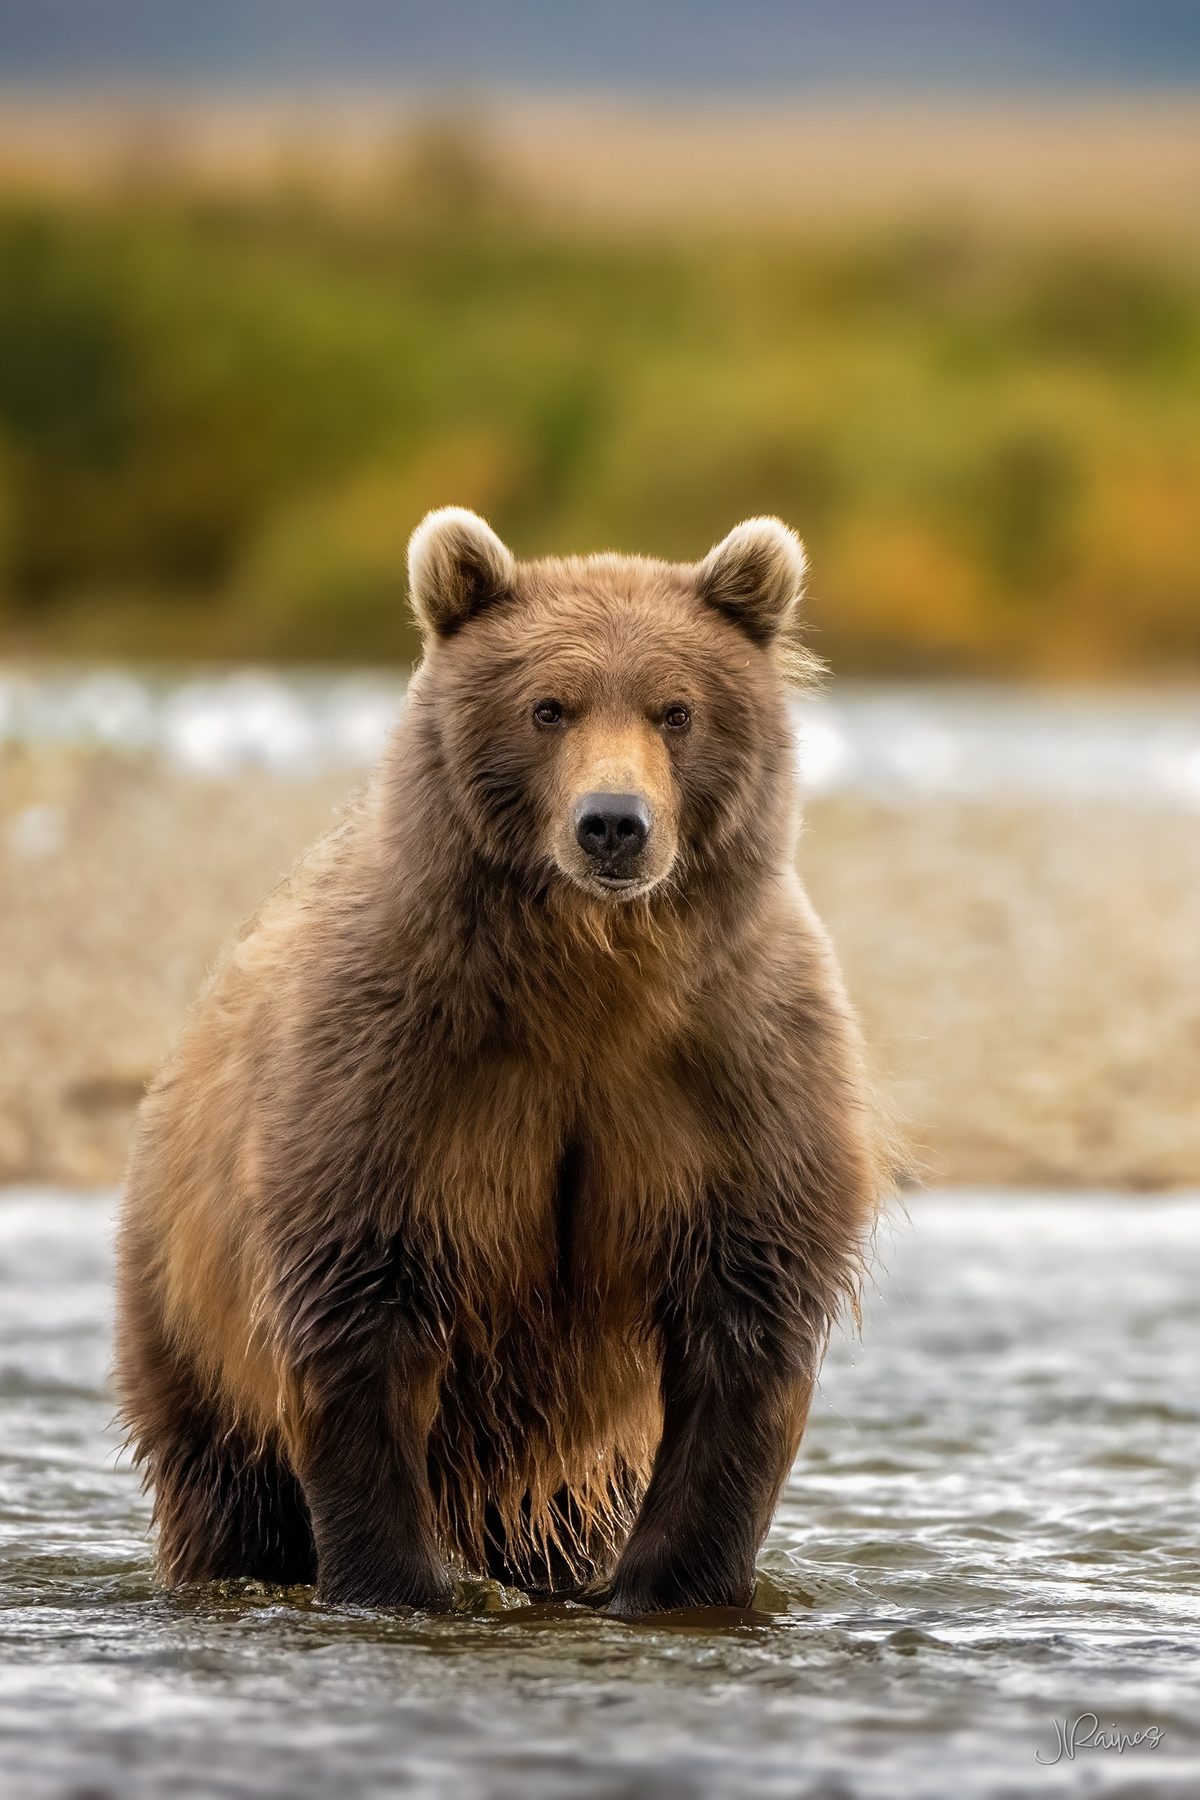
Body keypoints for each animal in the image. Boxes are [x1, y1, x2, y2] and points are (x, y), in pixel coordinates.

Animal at [115, 508, 884, 1615]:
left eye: (677, 711)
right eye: (548, 706)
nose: (613, 823)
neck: (588, 984)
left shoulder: (736, 1069)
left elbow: (743, 1326)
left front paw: (673, 1586)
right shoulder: (398, 1071)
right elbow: (363, 1321)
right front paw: (396, 1582)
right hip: (185, 1308)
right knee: (224, 1486)